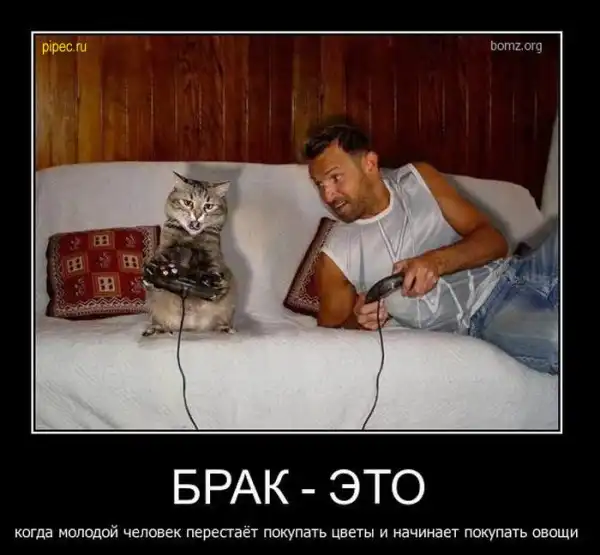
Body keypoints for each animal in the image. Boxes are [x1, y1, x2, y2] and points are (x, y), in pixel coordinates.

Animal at [141, 171, 236, 337]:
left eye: (208, 206)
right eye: (187, 203)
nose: (197, 216)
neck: (191, 238)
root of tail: (189, 327)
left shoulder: (214, 257)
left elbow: (216, 272)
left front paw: (215, 284)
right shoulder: (165, 249)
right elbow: (158, 261)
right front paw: (156, 272)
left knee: (219, 322)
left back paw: (225, 328)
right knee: (159, 321)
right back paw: (156, 329)